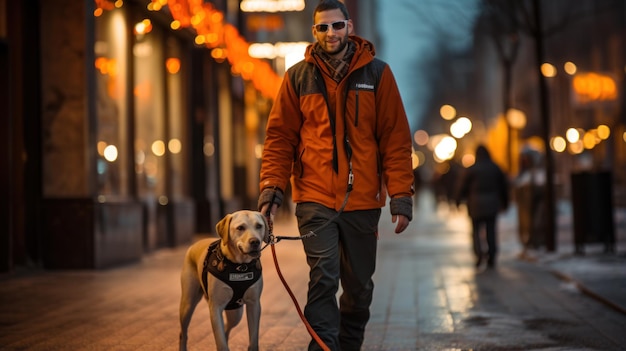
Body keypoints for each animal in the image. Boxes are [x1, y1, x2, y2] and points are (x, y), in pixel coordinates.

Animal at [179, 212, 270, 351]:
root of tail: (194, 244)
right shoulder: (215, 307)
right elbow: (221, 341)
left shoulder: (254, 304)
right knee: (183, 334)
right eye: (240, 228)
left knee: (227, 327)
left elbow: (253, 339)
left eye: (259, 226)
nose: (255, 241)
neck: (239, 266)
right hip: (187, 305)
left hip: (236, 313)